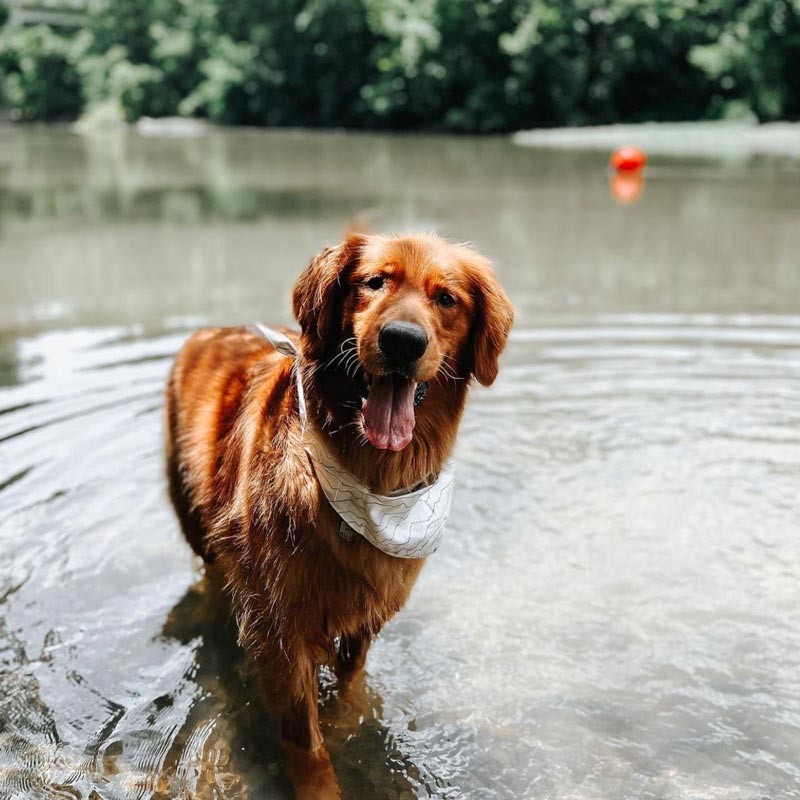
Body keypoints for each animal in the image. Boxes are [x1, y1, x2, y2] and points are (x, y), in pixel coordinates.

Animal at [164, 233, 512, 800]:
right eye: (373, 282)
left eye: (446, 298)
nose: (402, 342)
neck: (368, 481)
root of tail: (210, 328)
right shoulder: (278, 630)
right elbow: (305, 742)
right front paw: (322, 784)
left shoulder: (367, 615)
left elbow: (349, 693)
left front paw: (350, 724)